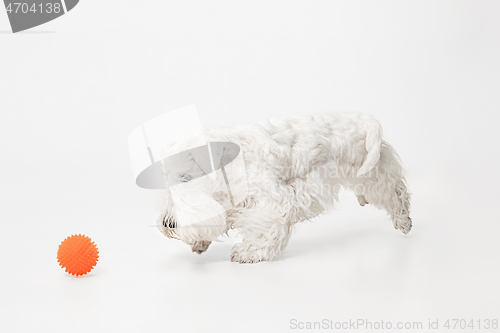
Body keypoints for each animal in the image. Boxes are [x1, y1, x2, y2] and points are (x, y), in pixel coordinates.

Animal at [155, 113, 410, 264]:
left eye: (185, 178)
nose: (168, 224)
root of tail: (360, 120)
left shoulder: (273, 201)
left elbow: (265, 229)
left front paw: (248, 253)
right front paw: (199, 242)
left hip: (375, 172)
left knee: (397, 193)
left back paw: (404, 221)